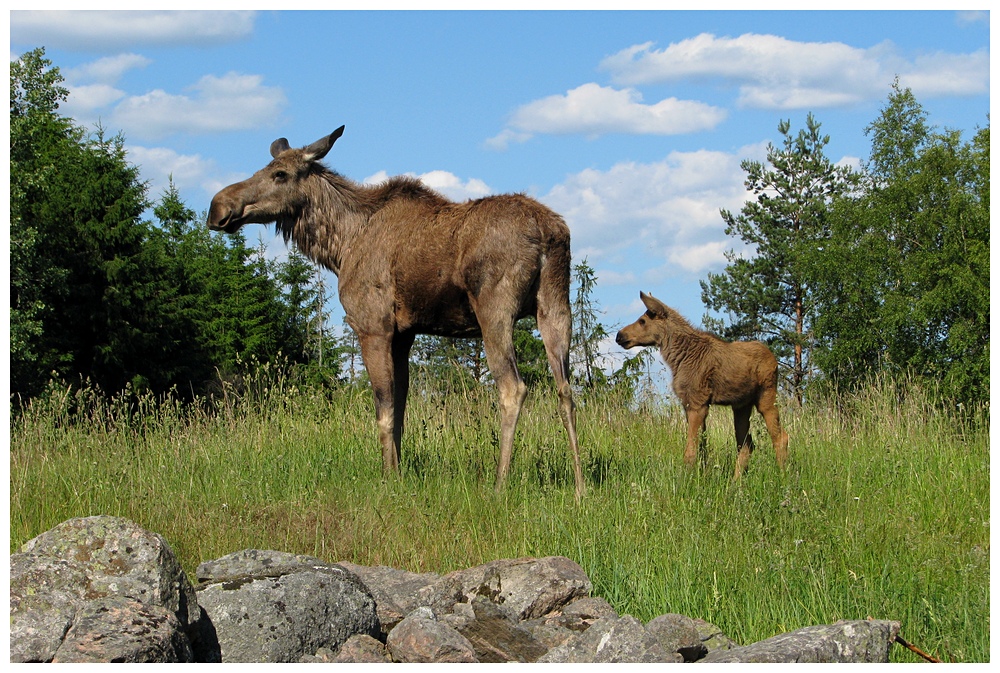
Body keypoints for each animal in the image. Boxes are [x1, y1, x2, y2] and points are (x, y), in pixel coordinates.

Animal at [209, 126, 584, 498]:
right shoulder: (405, 334)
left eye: (280, 174)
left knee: (513, 388)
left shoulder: (373, 326)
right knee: (565, 389)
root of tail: (549, 233)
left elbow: (384, 408)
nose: (217, 207)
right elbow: (401, 407)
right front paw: (399, 471)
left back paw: (499, 483)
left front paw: (389, 478)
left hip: (494, 310)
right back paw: (580, 486)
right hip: (555, 305)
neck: (340, 245)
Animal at [616, 290, 788, 478]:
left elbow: (690, 451)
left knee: (780, 437)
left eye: (642, 321)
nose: (619, 335)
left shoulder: (697, 403)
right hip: (741, 405)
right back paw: (735, 482)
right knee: (746, 445)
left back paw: (783, 476)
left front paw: (687, 479)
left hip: (766, 397)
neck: (677, 359)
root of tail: (775, 360)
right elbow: (702, 447)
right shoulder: (690, 404)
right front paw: (702, 476)